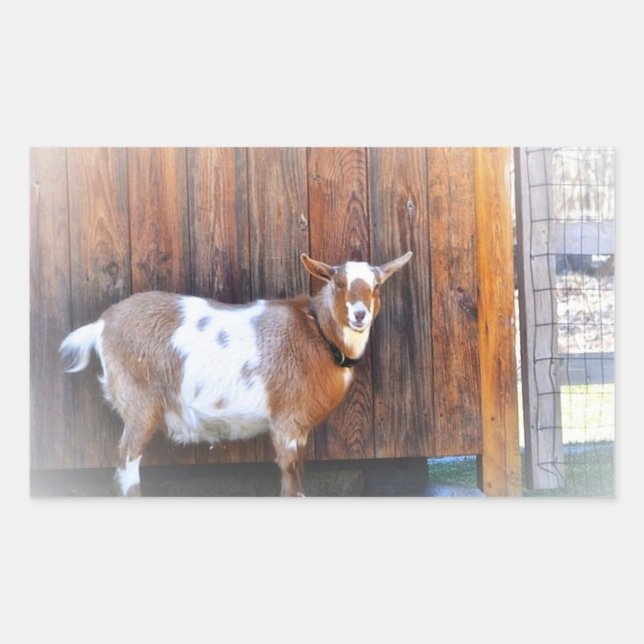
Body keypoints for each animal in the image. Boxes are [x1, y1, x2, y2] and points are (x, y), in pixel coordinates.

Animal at [60, 251, 413, 496]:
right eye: (338, 284)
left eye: (376, 286)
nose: (359, 315)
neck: (317, 334)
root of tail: (101, 325)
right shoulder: (287, 423)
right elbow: (292, 485)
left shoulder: (298, 429)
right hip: (139, 404)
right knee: (127, 466)